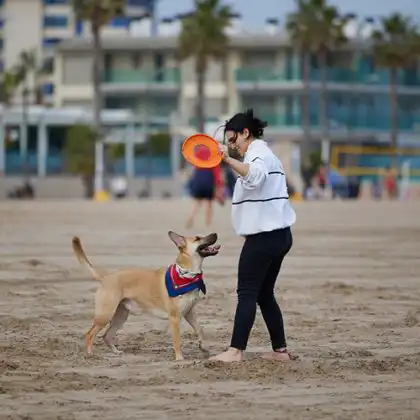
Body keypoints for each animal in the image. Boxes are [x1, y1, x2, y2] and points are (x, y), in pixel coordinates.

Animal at [71, 231, 220, 360]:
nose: (215, 233)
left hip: (121, 315)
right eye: (197, 238)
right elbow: (177, 341)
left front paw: (203, 346)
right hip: (105, 315)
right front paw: (179, 358)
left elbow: (200, 330)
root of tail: (107, 277)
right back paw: (90, 354)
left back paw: (116, 352)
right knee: (90, 334)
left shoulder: (189, 312)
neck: (187, 274)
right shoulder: (175, 318)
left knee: (106, 335)